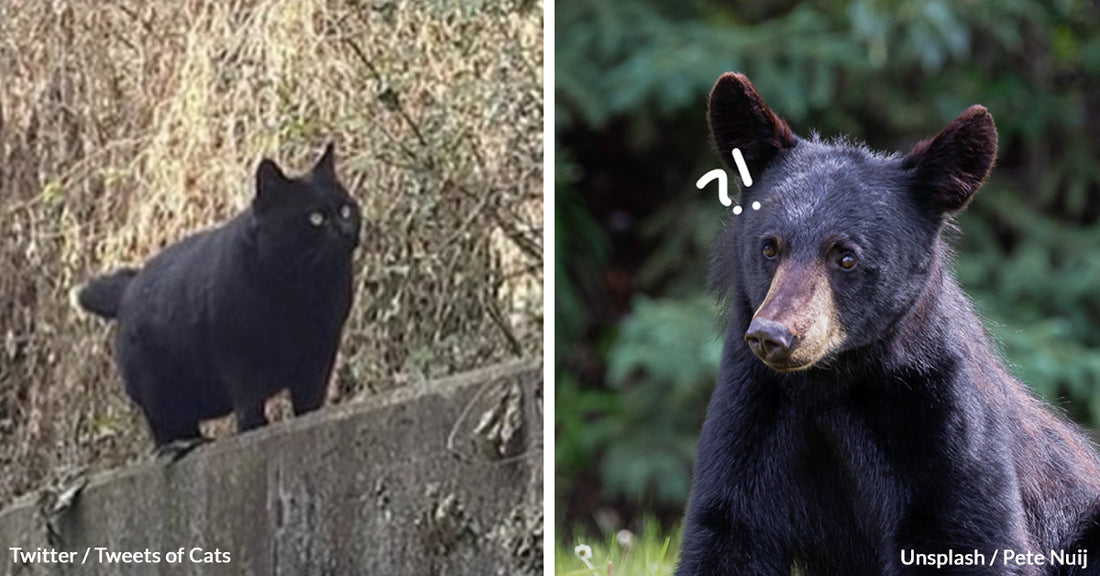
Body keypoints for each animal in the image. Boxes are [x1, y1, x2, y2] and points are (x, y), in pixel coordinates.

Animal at [77, 144, 360, 450]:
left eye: (346, 210)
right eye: (315, 218)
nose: (346, 230)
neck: (301, 289)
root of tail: (127, 288)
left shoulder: (321, 350)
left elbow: (309, 400)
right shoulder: (238, 355)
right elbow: (249, 403)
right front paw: (254, 430)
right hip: (159, 394)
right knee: (165, 429)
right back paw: (180, 447)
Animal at [677, 73, 1100, 576]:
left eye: (846, 256)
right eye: (769, 247)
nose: (772, 335)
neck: (830, 385)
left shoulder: (940, 416)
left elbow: (969, 533)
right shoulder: (752, 411)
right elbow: (727, 533)